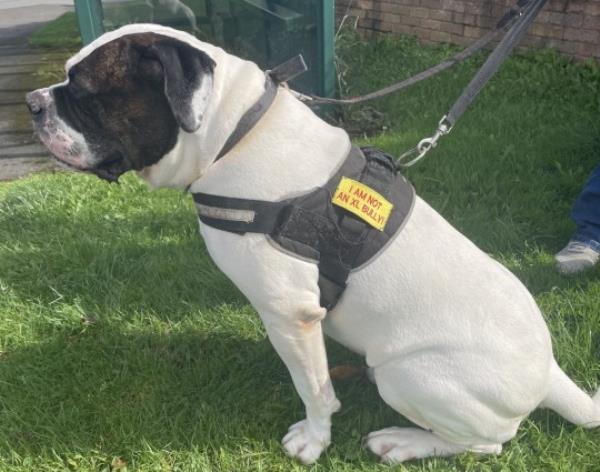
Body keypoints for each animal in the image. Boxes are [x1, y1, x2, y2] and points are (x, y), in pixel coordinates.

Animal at [25, 23, 596, 464]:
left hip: (405, 373)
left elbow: (314, 389)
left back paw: (404, 442)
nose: (32, 102)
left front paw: (313, 442)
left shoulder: (289, 311)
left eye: (84, 92)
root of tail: (549, 374)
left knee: (487, 444)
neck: (233, 135)